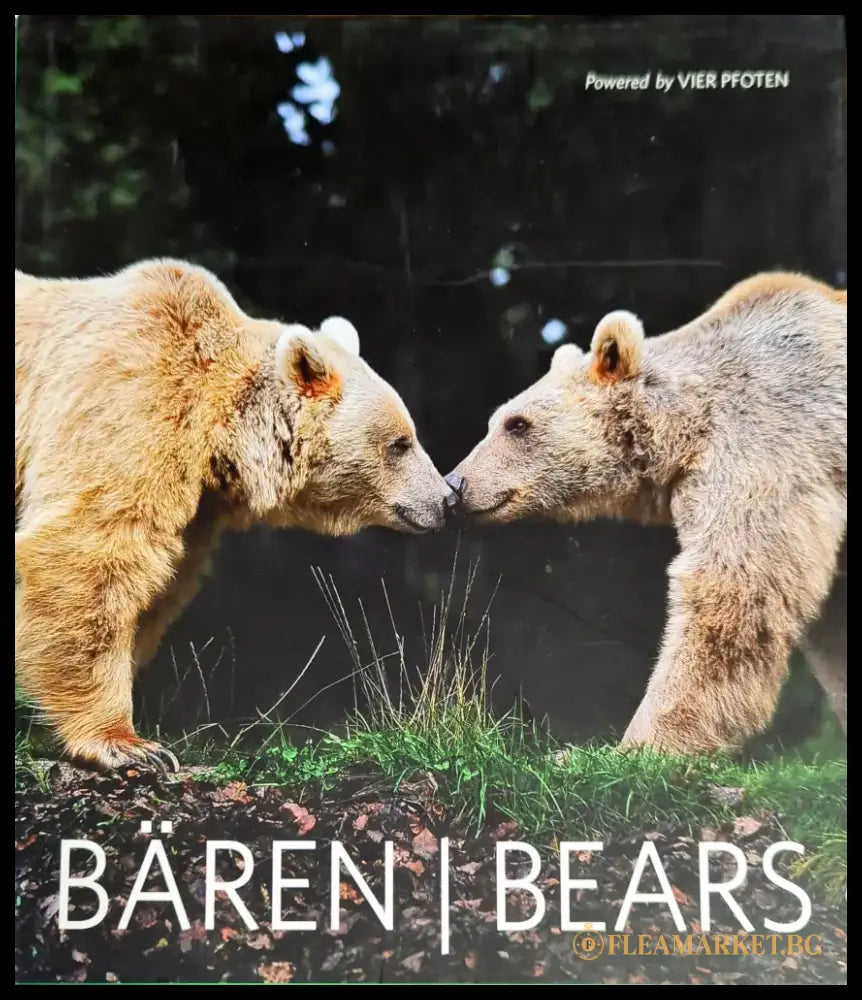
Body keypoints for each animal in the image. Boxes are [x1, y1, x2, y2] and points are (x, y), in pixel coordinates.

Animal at [15, 258, 455, 771]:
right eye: (399, 443)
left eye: (409, 435)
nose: (446, 499)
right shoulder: (129, 401)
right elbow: (91, 548)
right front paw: (127, 743)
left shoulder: (197, 508)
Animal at [445, 272, 847, 754]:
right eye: (495, 421)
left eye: (517, 424)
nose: (454, 485)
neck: (686, 427)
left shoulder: (766, 446)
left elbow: (730, 586)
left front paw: (641, 745)